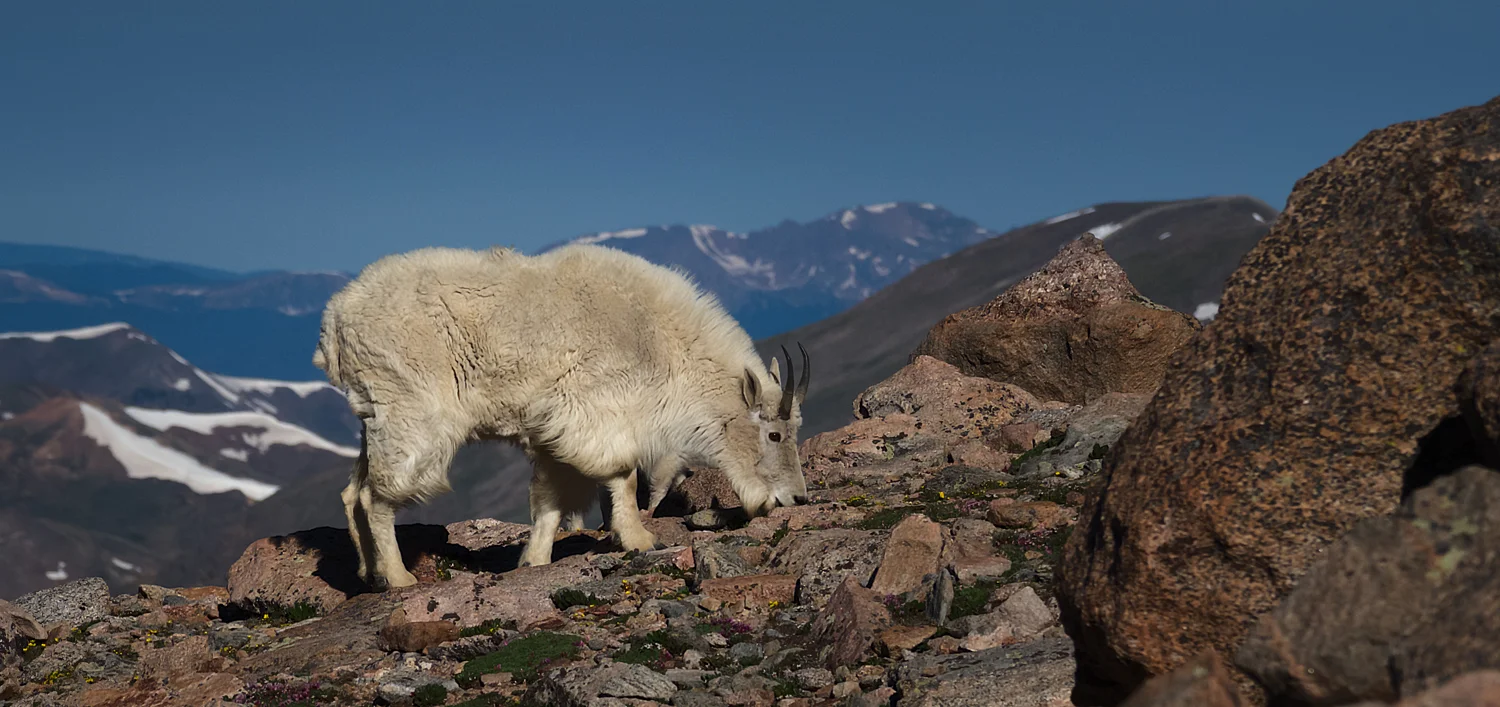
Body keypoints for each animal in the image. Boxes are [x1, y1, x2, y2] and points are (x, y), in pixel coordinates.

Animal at [313, 243, 811, 590]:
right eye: (773, 434)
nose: (797, 498)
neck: (661, 342)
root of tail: (333, 322)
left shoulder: (552, 433)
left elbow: (551, 501)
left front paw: (533, 560)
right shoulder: (595, 413)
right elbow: (622, 474)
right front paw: (639, 539)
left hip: (373, 416)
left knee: (351, 491)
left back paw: (367, 574)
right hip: (411, 413)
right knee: (377, 496)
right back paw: (398, 578)